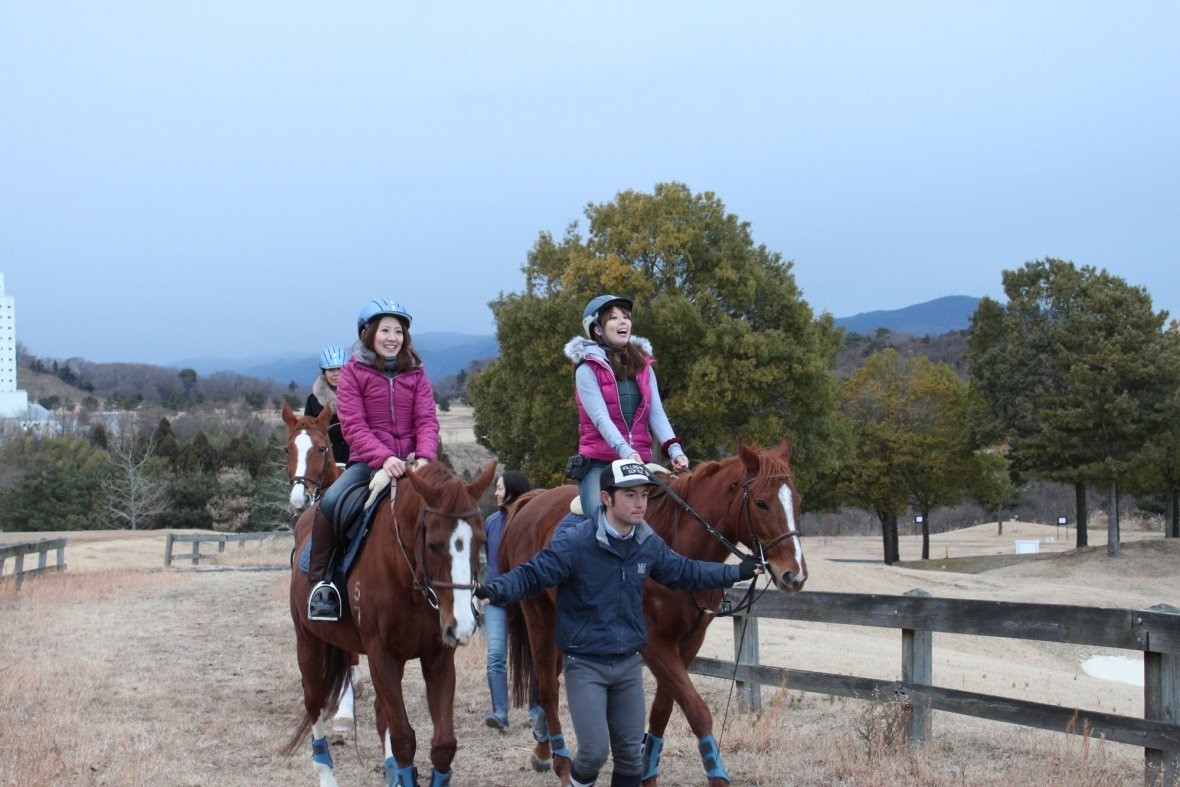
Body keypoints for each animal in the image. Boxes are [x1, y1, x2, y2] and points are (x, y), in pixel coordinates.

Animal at [286, 462, 497, 787]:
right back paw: (327, 772)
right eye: (433, 545)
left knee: (378, 711)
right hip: (309, 645)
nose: (461, 626)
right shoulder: (380, 655)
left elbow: (443, 745)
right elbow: (403, 740)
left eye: (481, 541)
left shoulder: (437, 658)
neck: (407, 577)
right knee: (315, 703)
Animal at [502, 436, 807, 787]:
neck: (679, 542)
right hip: (538, 614)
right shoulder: (654, 644)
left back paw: (542, 748)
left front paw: (648, 773)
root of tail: (533, 501)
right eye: (760, 503)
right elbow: (697, 711)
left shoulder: (688, 642)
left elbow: (662, 711)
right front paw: (717, 775)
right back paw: (562, 764)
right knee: (547, 686)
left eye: (797, 500)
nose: (795, 575)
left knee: (547, 679)